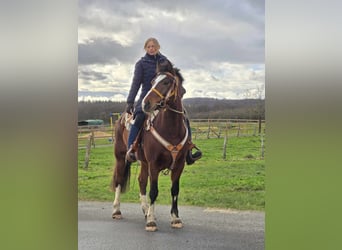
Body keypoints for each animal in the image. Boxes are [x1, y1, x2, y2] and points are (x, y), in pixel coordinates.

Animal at [111, 59, 190, 231]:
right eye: (153, 82)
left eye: (166, 82)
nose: (146, 103)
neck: (171, 129)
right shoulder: (154, 164)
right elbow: (154, 191)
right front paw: (151, 221)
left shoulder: (179, 165)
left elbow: (175, 190)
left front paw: (175, 218)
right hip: (121, 158)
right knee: (119, 180)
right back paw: (117, 210)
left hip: (143, 162)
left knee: (141, 180)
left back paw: (145, 210)